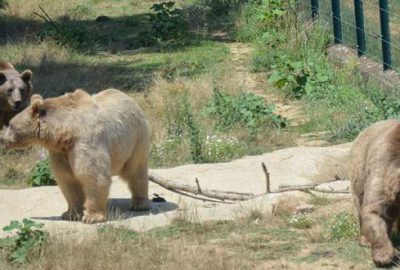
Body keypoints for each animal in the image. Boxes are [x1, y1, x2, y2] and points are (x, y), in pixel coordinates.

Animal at [0, 88, 150, 224]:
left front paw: (92, 217)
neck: (65, 131)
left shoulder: (85, 141)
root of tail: (129, 98)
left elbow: (93, 175)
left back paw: (139, 203)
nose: (2, 139)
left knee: (136, 171)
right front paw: (70, 213)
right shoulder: (61, 152)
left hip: (135, 139)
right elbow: (67, 179)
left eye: (11, 125)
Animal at [350, 119, 400, 266]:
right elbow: (374, 210)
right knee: (360, 206)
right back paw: (365, 241)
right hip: (359, 174)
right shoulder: (383, 168)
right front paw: (385, 256)